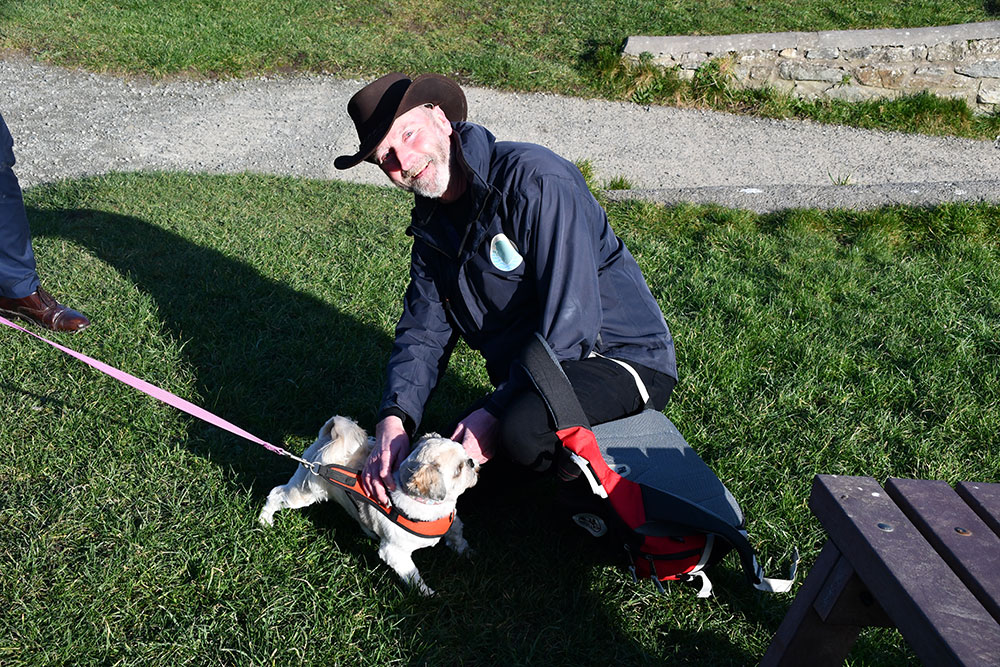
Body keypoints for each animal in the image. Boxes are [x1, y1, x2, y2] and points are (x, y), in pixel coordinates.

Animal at [258, 418, 476, 596]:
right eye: (458, 470)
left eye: (466, 456)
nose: (472, 462)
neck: (428, 508)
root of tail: (327, 439)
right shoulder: (395, 553)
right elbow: (413, 575)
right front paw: (427, 593)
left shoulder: (452, 521)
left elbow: (457, 535)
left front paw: (466, 552)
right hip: (303, 493)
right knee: (276, 493)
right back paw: (265, 519)